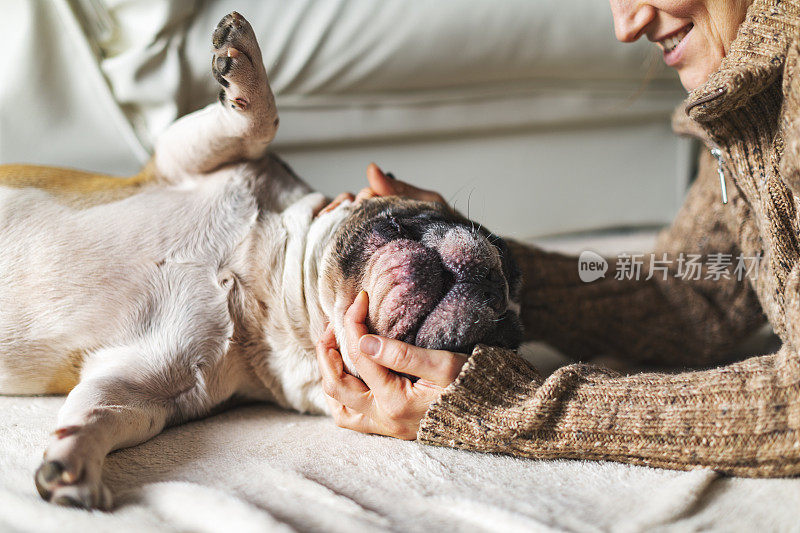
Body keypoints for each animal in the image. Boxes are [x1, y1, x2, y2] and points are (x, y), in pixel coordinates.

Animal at [0, 12, 520, 510]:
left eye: (489, 345)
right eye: (500, 247)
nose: (497, 293)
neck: (269, 287)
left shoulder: (144, 386)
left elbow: (98, 412)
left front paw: (74, 461)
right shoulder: (182, 160)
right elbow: (259, 122)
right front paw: (242, 60)